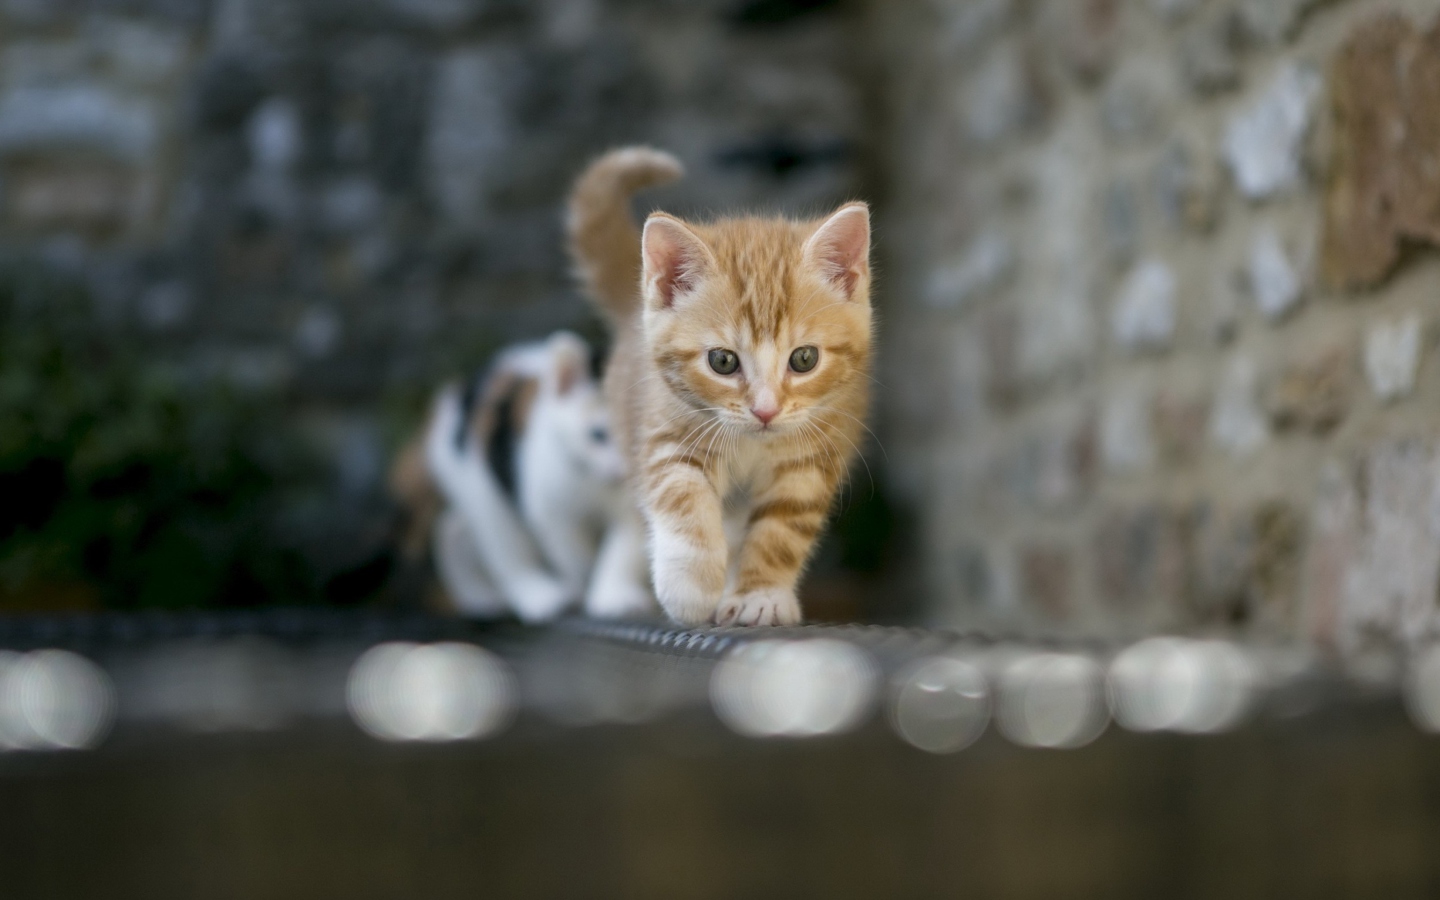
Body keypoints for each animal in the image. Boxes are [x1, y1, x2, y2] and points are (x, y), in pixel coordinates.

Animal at [567, 147, 869, 624]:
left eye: (804, 359)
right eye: (722, 361)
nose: (765, 410)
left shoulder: (814, 451)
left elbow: (782, 526)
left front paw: (760, 594)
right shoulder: (665, 427)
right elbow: (682, 496)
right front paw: (690, 586)